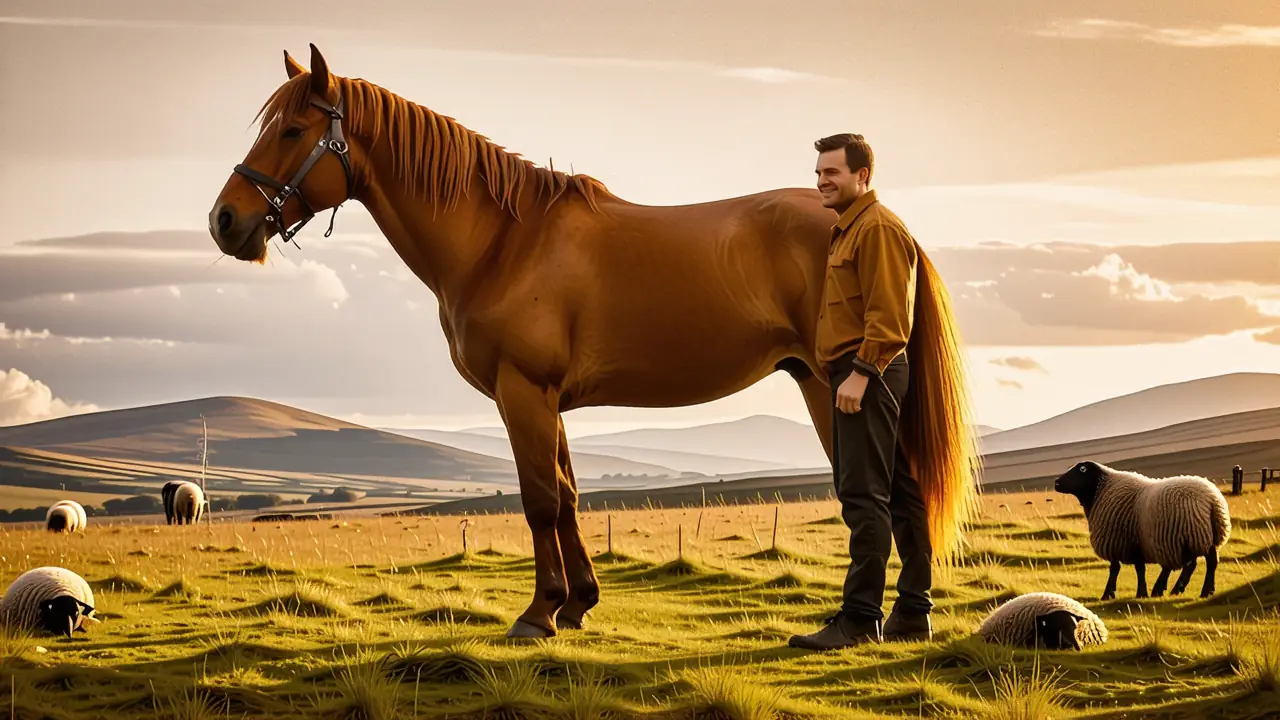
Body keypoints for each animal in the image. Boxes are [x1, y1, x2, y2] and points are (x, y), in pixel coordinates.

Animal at [207, 43, 981, 639]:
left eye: (292, 129)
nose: (224, 221)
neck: (502, 242)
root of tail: (879, 222)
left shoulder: (522, 392)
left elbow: (539, 501)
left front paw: (538, 614)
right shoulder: (546, 399)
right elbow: (571, 494)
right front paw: (578, 603)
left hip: (835, 390)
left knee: (879, 494)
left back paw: (860, 624)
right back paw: (908, 621)